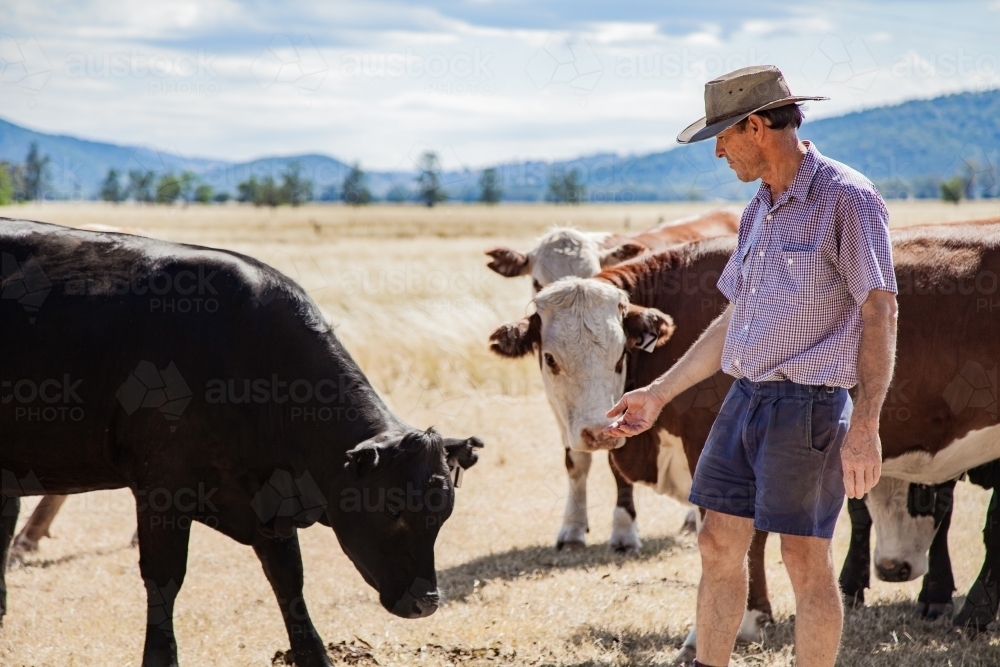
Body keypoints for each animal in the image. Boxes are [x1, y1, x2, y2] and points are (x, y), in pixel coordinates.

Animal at [0, 220, 484, 667]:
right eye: (392, 509)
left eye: (443, 514)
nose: (426, 603)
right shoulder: (162, 490)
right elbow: (164, 580)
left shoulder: (269, 500)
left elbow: (289, 580)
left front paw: (314, 655)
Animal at [484, 213, 736, 552]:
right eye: (550, 359)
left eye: (621, 355)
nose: (596, 433)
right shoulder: (565, 412)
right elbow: (577, 461)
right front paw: (573, 528)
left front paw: (623, 531)